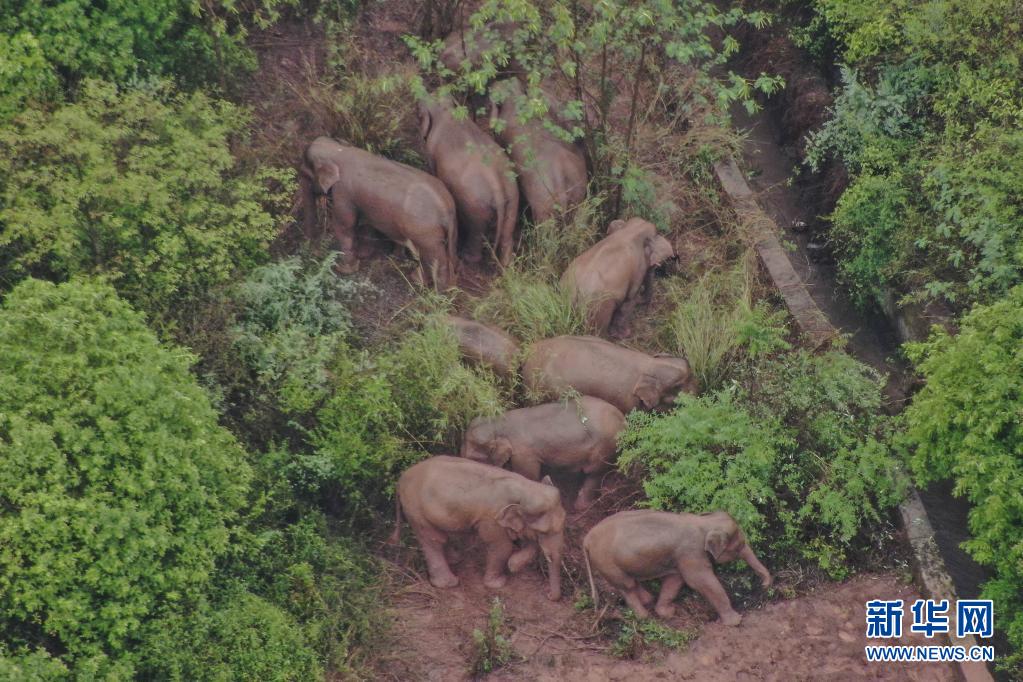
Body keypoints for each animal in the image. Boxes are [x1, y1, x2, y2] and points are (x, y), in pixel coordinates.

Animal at [302, 136, 457, 289]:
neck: (338, 150)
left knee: (433, 257)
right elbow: (366, 222)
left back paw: (423, 283)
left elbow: (344, 225)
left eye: (306, 173)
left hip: (426, 234)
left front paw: (344, 269)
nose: (315, 253)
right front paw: (364, 255)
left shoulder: (343, 192)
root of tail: (447, 209)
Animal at [391, 455, 565, 600]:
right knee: (433, 540)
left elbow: (527, 543)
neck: (526, 488)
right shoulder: (491, 519)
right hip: (415, 509)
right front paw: (498, 583)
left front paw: (513, 565)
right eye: (543, 532)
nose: (548, 593)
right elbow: (502, 546)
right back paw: (450, 583)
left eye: (564, 521)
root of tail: (401, 479)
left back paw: (456, 558)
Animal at [419, 94, 519, 265]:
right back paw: (507, 265)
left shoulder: (431, 150)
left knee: (476, 230)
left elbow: (432, 167)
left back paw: (466, 257)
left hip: (474, 206)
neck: (447, 110)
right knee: (507, 235)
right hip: (513, 198)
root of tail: (498, 188)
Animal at [461, 396, 626, 510]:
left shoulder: (524, 454)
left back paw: (580, 507)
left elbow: (529, 476)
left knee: (594, 474)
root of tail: (623, 419)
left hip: (605, 448)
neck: (500, 423)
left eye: (475, 458)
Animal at [583, 510, 772, 624]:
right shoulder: (691, 553)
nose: (765, 584)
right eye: (739, 547)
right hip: (608, 563)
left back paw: (649, 600)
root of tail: (586, 540)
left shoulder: (680, 558)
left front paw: (667, 612)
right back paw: (644, 616)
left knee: (631, 583)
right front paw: (736, 621)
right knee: (627, 586)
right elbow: (701, 581)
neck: (703, 521)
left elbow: (675, 580)